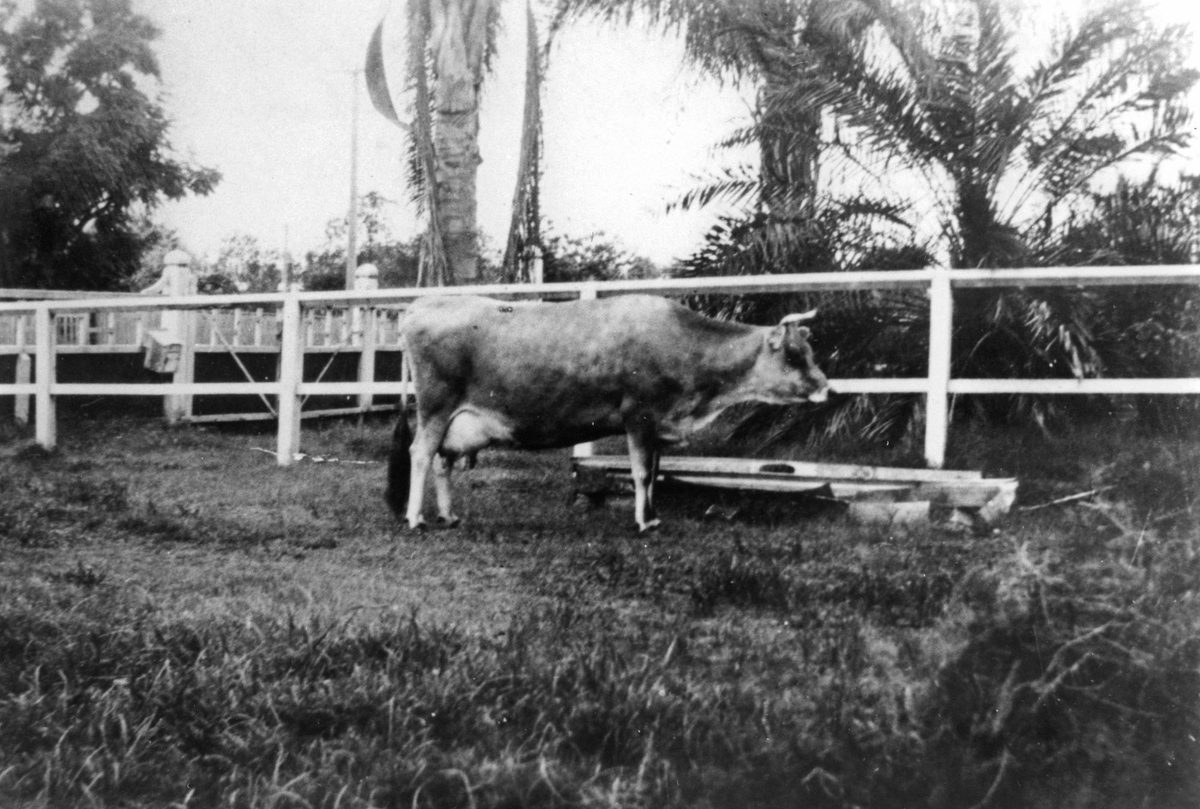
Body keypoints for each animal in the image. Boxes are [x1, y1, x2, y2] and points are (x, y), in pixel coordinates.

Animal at [386, 294, 830, 532]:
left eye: (810, 350)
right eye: (793, 354)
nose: (826, 388)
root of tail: (421, 305)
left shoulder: (657, 424)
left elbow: (654, 472)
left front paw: (653, 517)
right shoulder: (639, 415)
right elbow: (641, 472)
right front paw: (642, 522)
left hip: (454, 419)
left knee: (443, 461)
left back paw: (448, 515)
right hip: (436, 404)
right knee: (421, 454)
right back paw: (415, 518)